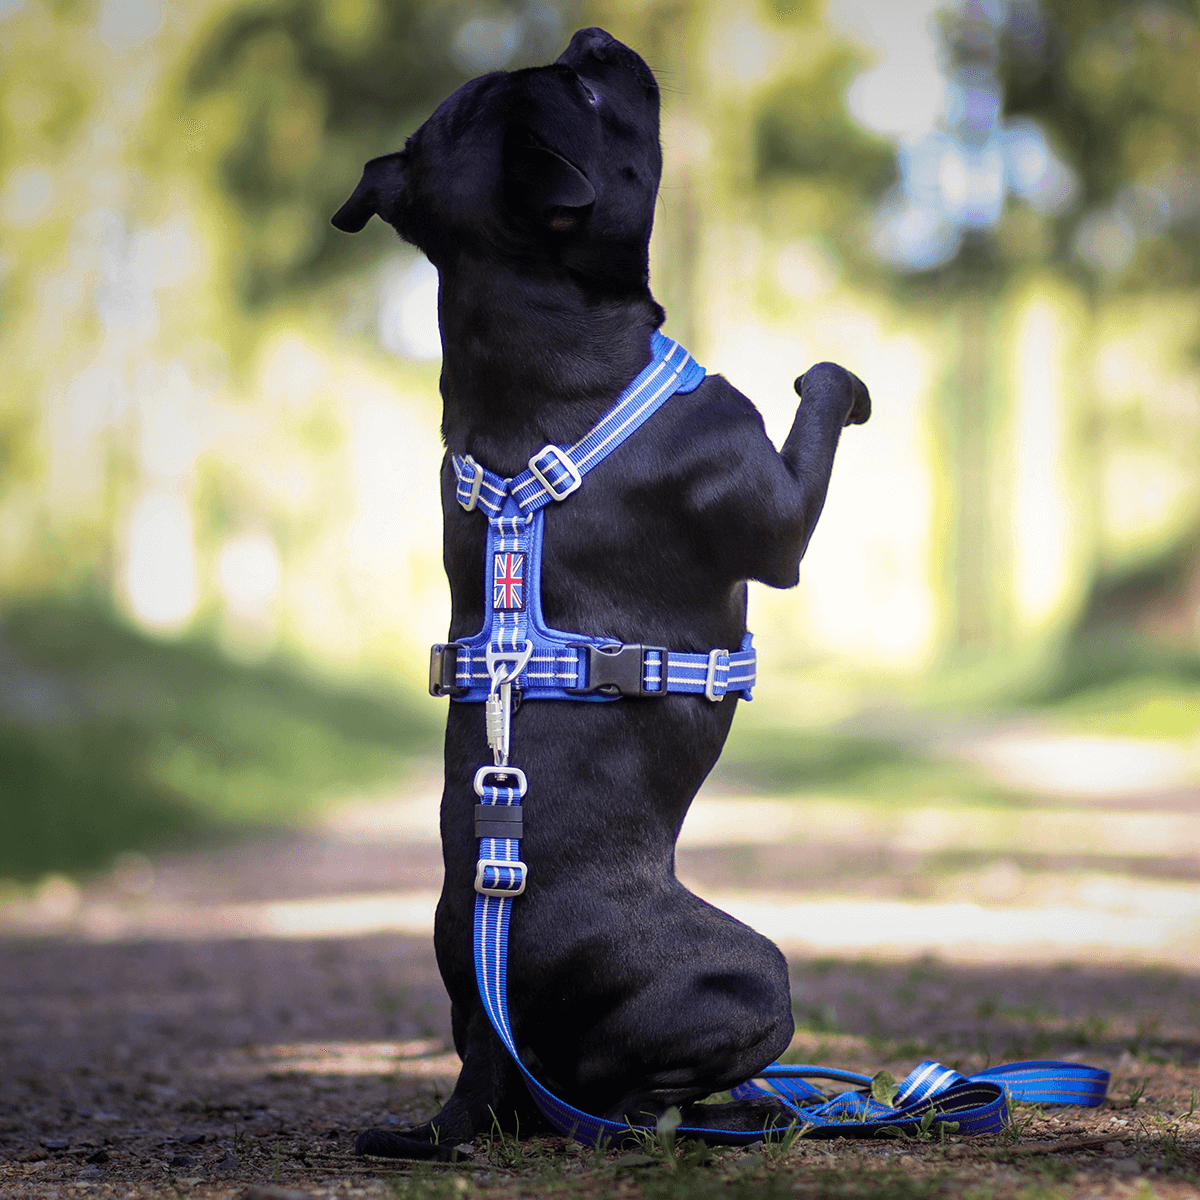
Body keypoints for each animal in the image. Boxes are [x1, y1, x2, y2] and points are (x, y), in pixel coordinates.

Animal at [333, 25, 868, 1152]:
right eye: (582, 91)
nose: (591, 35)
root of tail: (485, 1061)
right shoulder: (776, 509)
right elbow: (822, 396)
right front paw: (838, 381)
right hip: (757, 977)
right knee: (626, 1100)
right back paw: (723, 1115)